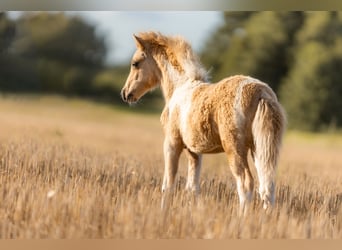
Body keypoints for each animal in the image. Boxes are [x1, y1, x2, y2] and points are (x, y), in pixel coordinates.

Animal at [120, 31, 286, 213]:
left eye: (135, 63)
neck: (180, 86)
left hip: (235, 148)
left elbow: (168, 185)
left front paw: (163, 212)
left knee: (246, 183)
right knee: (267, 186)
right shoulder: (194, 151)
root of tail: (261, 93)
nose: (125, 94)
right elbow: (192, 187)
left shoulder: (172, 143)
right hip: (259, 148)